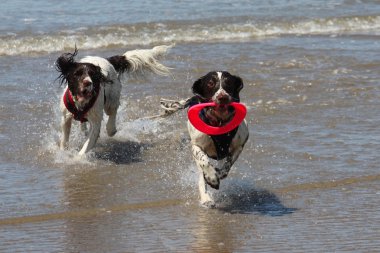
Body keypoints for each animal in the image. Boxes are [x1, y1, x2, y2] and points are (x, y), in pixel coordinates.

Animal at [162, 70, 248, 206]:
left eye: (228, 82)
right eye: (210, 83)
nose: (222, 97)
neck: (218, 123)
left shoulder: (238, 146)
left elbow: (227, 165)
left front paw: (219, 173)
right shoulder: (196, 146)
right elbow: (204, 161)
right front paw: (212, 178)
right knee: (201, 177)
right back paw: (206, 198)